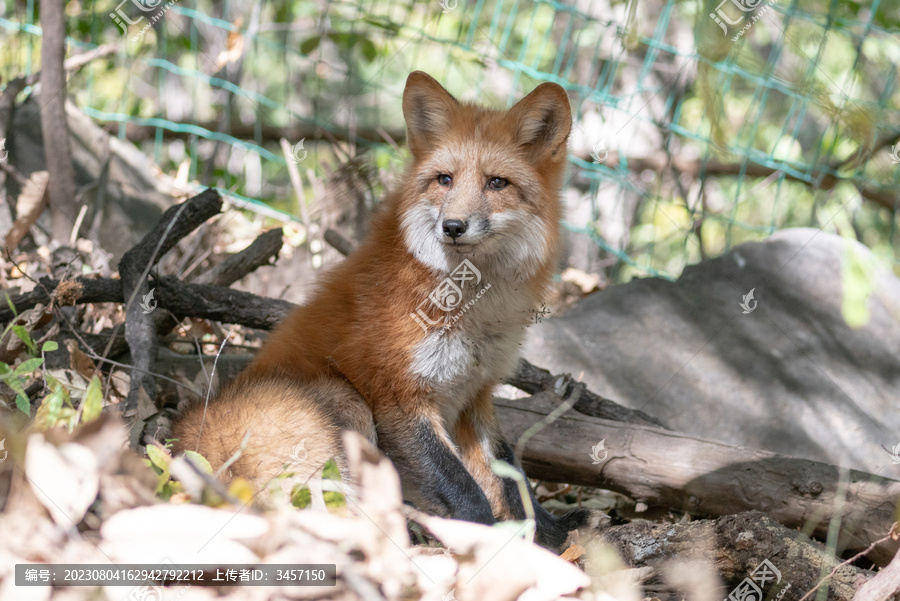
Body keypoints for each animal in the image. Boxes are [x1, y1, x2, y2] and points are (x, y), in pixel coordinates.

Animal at [172, 69, 596, 548]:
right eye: (445, 180)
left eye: (496, 183)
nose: (453, 226)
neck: (471, 311)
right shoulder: (399, 396)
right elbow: (466, 491)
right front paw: (484, 539)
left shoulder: (475, 395)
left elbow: (513, 478)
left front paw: (551, 534)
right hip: (345, 400)